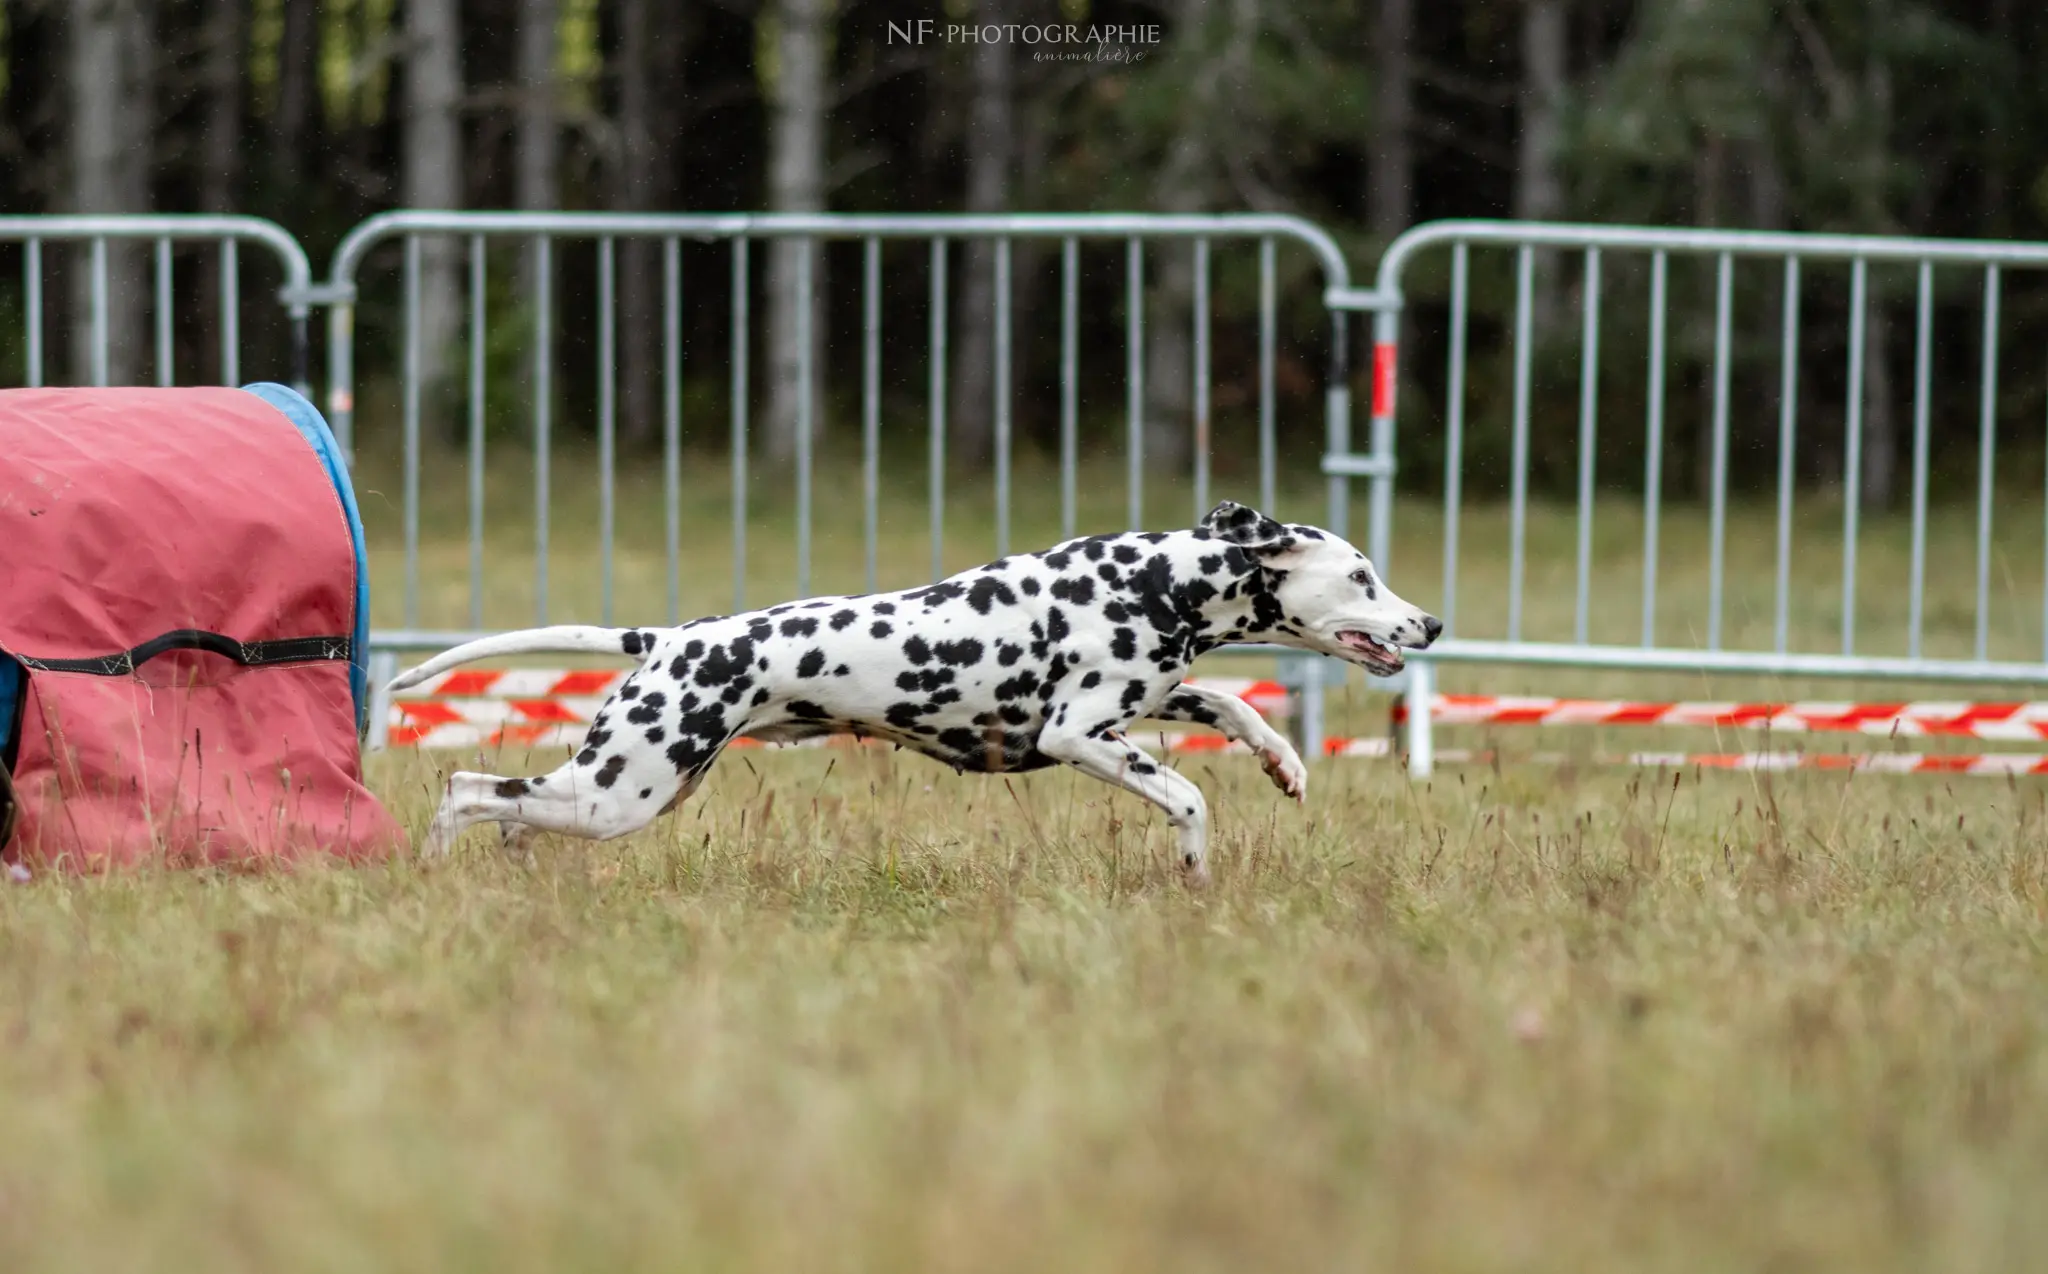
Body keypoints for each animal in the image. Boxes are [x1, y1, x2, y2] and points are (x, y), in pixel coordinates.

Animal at [385, 503, 1441, 884]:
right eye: (1362, 577)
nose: (1429, 626)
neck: (1161, 579)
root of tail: (674, 638)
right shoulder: (1078, 734)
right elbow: (1186, 796)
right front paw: (1193, 871)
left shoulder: (1144, 700)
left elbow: (1233, 705)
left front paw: (1287, 762)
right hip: (624, 789)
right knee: (466, 791)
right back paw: (434, 868)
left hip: (628, 786)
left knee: (509, 807)